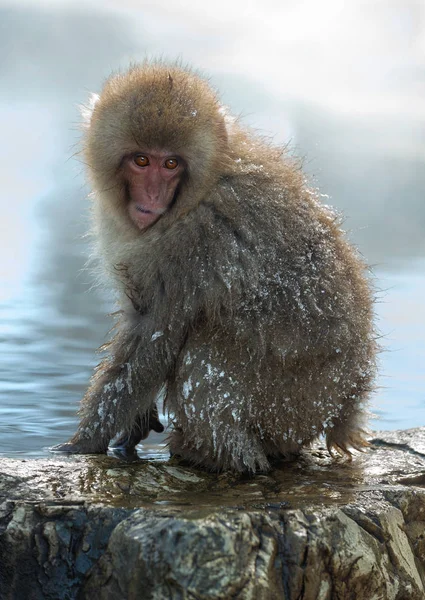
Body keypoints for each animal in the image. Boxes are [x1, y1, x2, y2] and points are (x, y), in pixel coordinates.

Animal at [51, 61, 376, 474]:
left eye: (171, 163)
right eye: (141, 160)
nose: (152, 197)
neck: (197, 191)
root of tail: (347, 405)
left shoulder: (191, 246)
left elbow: (153, 339)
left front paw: (84, 442)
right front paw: (134, 423)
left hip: (292, 403)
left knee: (205, 349)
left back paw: (224, 455)